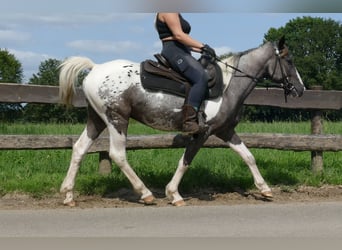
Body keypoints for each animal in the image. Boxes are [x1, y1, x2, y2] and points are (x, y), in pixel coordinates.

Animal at [58, 36, 304, 206]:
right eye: (289, 60)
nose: (300, 89)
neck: (228, 85)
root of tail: (96, 68)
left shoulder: (225, 131)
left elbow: (249, 157)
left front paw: (265, 189)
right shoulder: (202, 132)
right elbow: (185, 161)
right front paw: (174, 194)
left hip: (97, 120)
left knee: (79, 148)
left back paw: (68, 195)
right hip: (117, 119)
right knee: (118, 155)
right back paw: (146, 193)